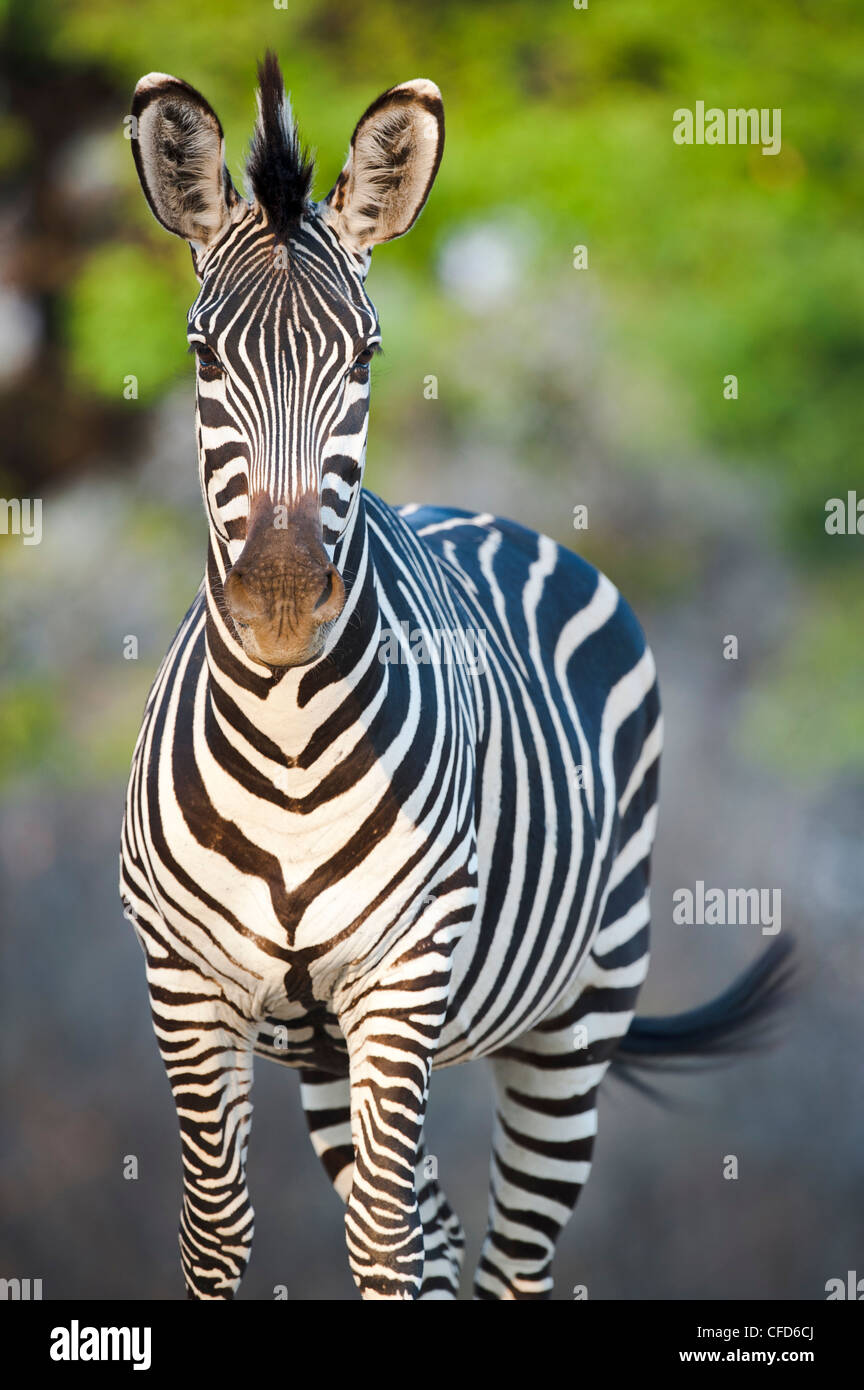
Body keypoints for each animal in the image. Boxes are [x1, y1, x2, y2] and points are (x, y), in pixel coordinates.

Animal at [120, 51, 794, 1289]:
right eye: (201, 355)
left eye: (366, 357)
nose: (280, 607)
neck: (286, 739)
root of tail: (489, 517)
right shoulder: (187, 985)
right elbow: (218, 1230)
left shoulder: (403, 973)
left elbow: (383, 1244)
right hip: (329, 1058)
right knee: (432, 1236)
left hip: (573, 1021)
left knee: (500, 1258)